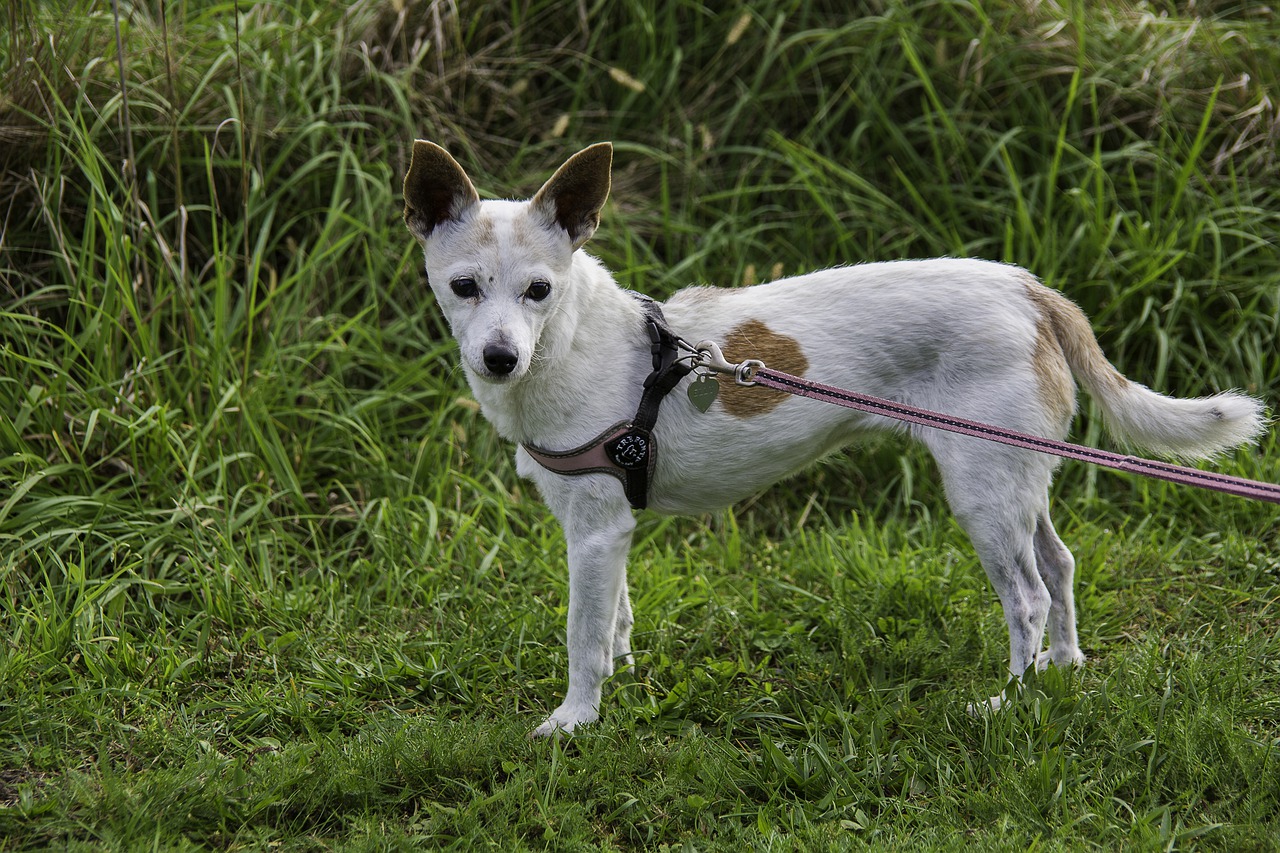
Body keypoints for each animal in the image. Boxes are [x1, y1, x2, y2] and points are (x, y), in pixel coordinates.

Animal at [404, 140, 1264, 737]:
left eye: (540, 290)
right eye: (463, 287)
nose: (499, 357)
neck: (572, 340)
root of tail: (1030, 290)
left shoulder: (592, 530)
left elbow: (581, 636)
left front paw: (576, 719)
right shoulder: (608, 531)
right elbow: (615, 617)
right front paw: (622, 670)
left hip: (982, 496)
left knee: (1028, 595)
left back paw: (1009, 700)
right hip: (1018, 476)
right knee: (1059, 564)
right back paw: (1062, 667)